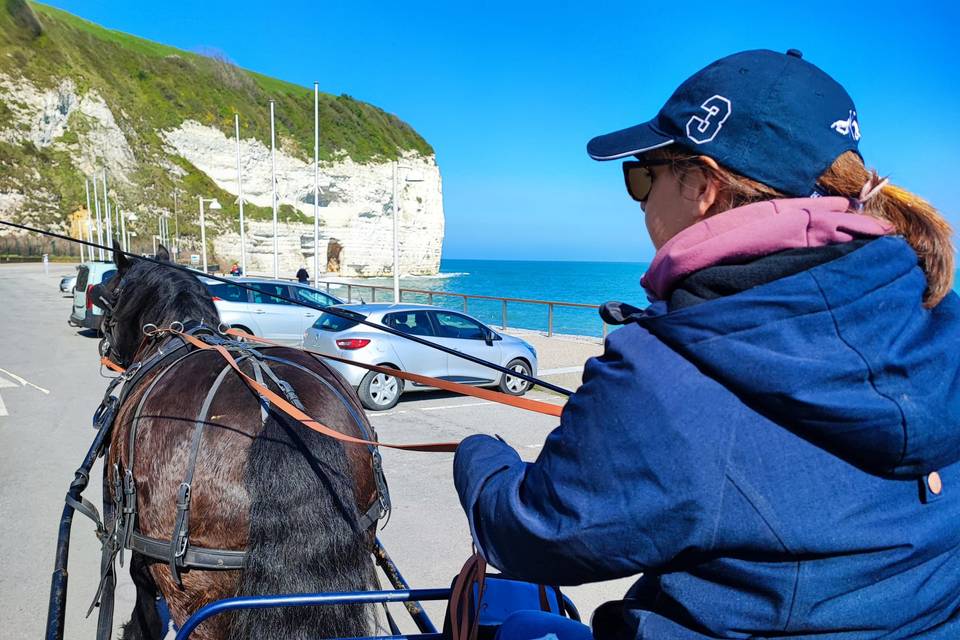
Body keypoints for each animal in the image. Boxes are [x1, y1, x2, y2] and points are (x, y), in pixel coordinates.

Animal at [98, 242, 382, 636]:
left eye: (109, 297)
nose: (107, 351)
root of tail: (279, 414)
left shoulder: (136, 539)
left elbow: (143, 600)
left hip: (196, 592)